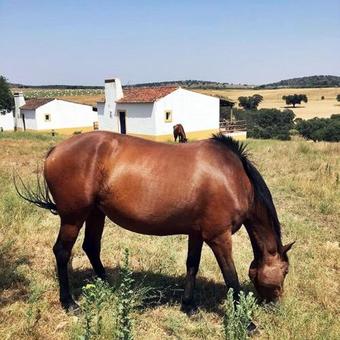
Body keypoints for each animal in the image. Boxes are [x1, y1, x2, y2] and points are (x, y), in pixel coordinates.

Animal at [15, 131, 294, 312]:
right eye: (285, 271)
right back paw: (69, 303)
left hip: (96, 213)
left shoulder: (197, 232)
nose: (277, 305)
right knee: (63, 252)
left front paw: (188, 305)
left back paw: (111, 287)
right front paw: (246, 321)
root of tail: (55, 150)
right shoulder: (218, 236)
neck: (233, 176)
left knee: (91, 247)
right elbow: (231, 276)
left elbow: (192, 265)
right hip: (74, 217)